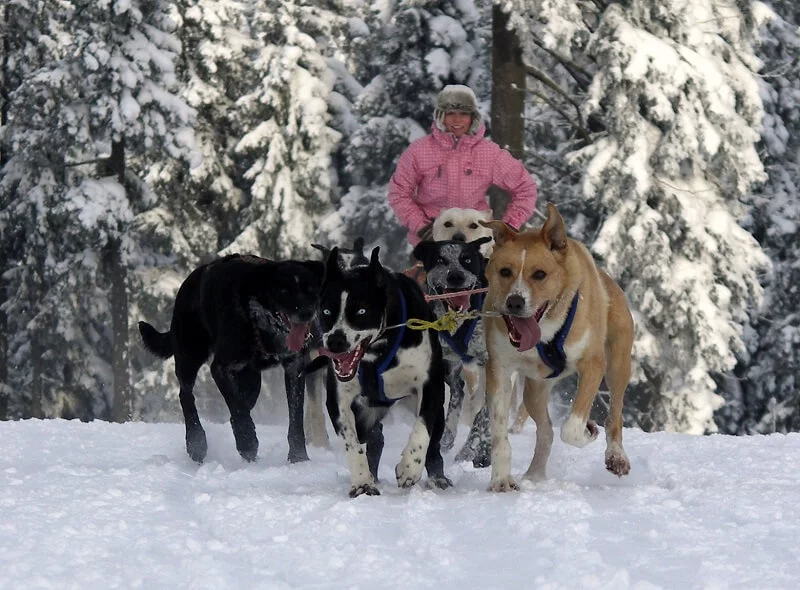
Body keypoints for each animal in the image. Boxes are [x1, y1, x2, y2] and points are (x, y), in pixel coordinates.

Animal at [139, 254, 324, 468]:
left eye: (310, 289)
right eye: (284, 291)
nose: (307, 312)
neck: (259, 323)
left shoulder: (294, 367)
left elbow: (295, 419)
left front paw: (298, 457)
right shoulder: (221, 368)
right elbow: (237, 407)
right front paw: (247, 442)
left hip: (252, 380)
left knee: (243, 404)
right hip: (189, 357)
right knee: (186, 396)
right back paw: (196, 443)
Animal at [318, 247, 456, 498]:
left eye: (361, 311)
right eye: (326, 310)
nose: (335, 341)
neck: (379, 351)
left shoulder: (429, 386)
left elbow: (422, 429)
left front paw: (409, 467)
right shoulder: (339, 400)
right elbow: (351, 444)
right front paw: (362, 483)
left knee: (433, 444)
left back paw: (437, 478)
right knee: (373, 439)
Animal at [412, 238, 494, 470]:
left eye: (467, 260)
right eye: (440, 259)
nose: (456, 276)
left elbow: (483, 415)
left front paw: (475, 449)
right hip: (450, 369)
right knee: (458, 390)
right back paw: (448, 435)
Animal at [478, 206, 636, 492]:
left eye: (540, 274)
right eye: (505, 271)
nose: (515, 302)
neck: (545, 332)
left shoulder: (593, 364)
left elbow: (571, 428)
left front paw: (587, 430)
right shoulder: (500, 369)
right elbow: (499, 432)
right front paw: (501, 479)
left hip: (617, 366)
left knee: (615, 415)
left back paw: (616, 456)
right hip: (535, 389)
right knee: (546, 431)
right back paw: (535, 474)